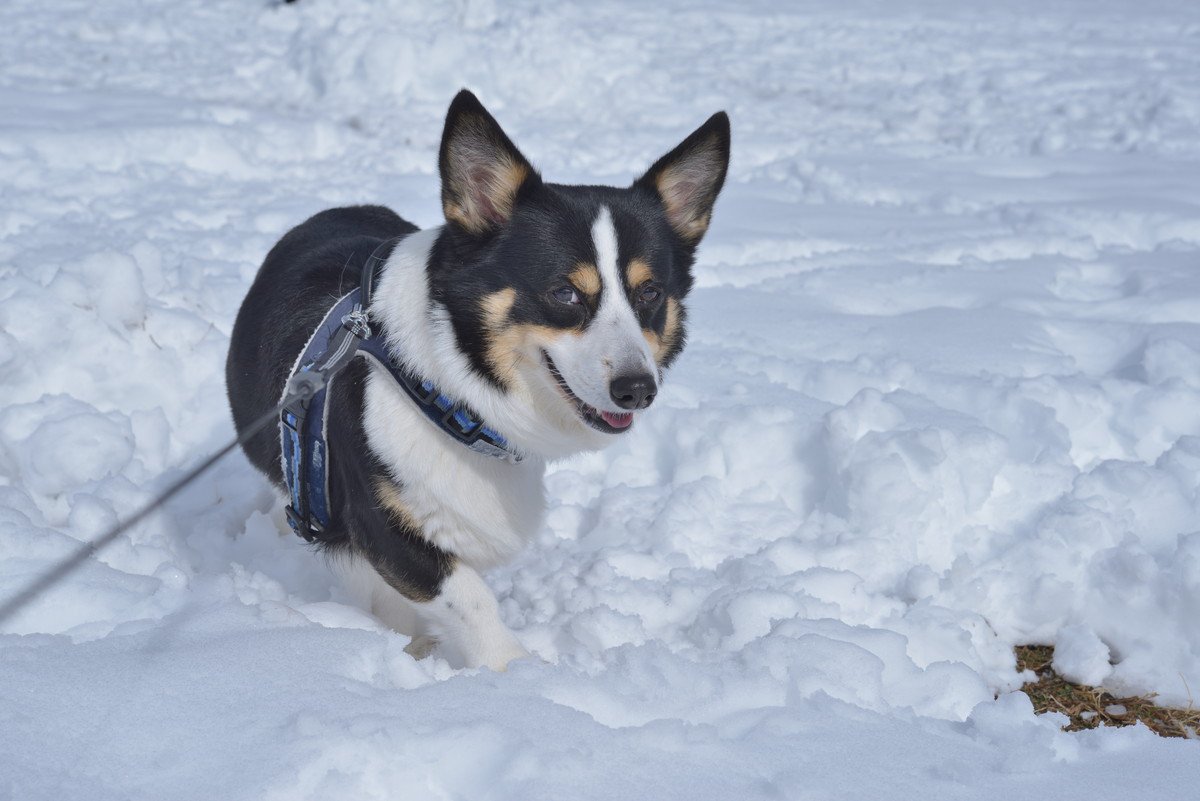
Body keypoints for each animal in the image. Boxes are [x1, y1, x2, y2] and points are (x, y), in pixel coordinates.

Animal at [225, 89, 729, 671]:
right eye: (564, 292)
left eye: (649, 292)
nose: (638, 390)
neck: (448, 398)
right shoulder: (383, 530)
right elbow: (468, 599)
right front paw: (514, 671)